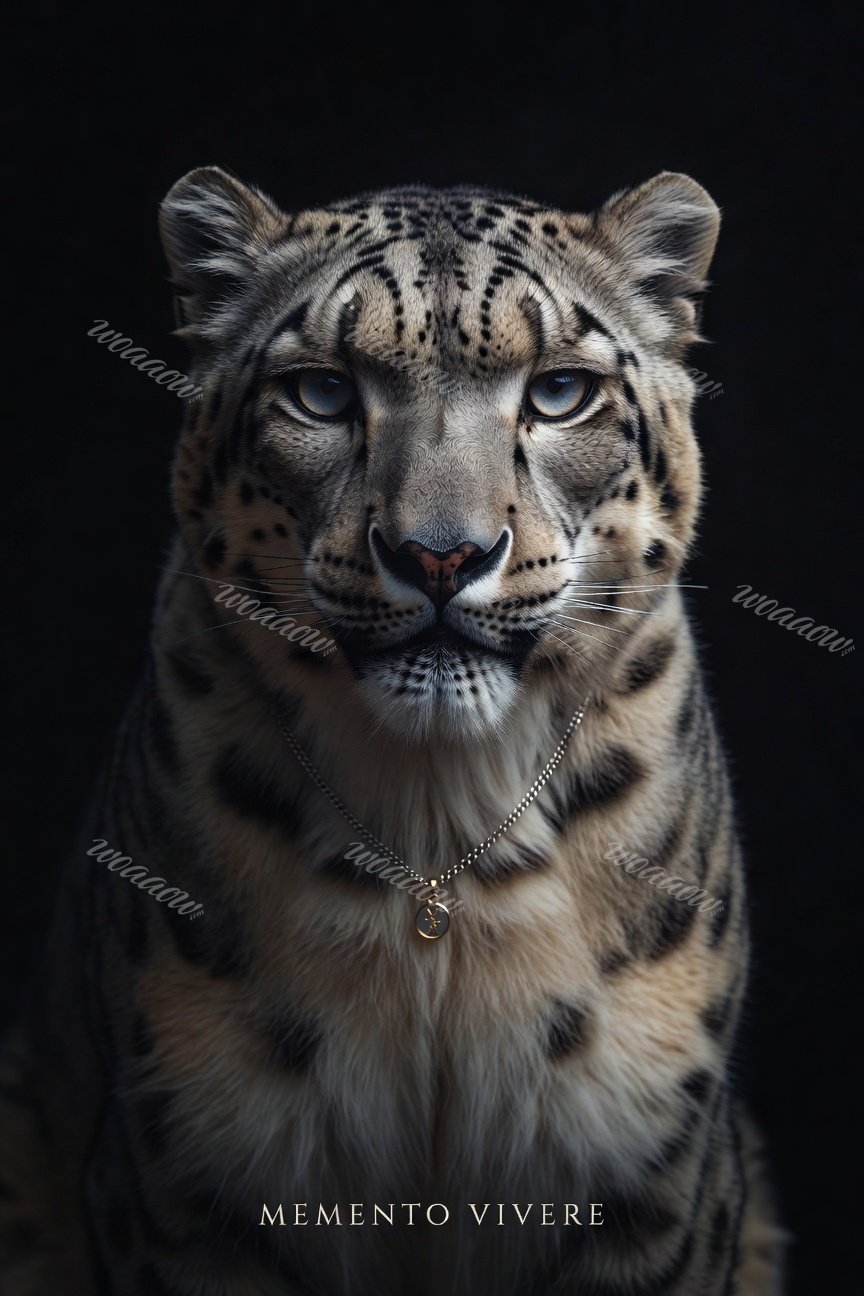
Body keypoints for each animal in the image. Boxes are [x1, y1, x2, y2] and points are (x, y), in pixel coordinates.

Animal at [0, 166, 785, 1294]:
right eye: (322, 392)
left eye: (559, 391)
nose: (440, 555)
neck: (438, 818)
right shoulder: (187, 1188)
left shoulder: (651, 1179)